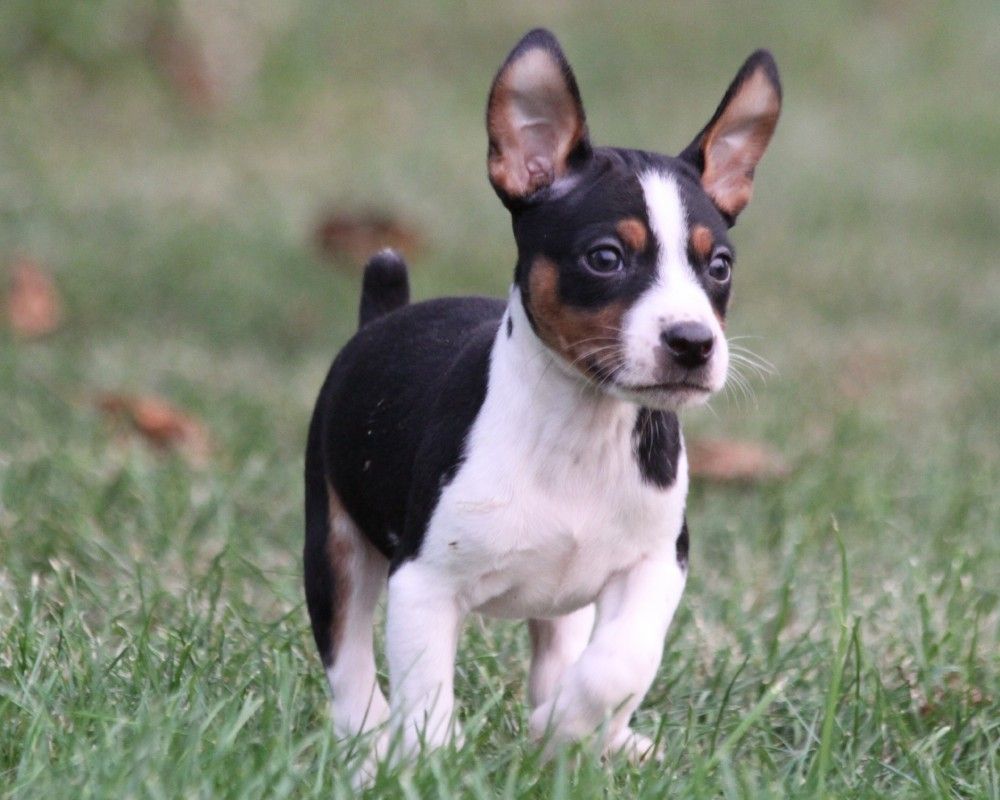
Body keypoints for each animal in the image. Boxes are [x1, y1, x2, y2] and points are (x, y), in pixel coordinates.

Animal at [304, 28, 781, 764]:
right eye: (606, 257)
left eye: (719, 266)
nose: (693, 341)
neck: (580, 428)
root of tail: (381, 316)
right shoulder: (423, 583)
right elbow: (425, 692)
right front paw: (432, 760)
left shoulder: (656, 564)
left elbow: (623, 662)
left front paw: (567, 728)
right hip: (334, 543)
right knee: (346, 656)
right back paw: (368, 741)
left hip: (566, 602)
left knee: (560, 653)